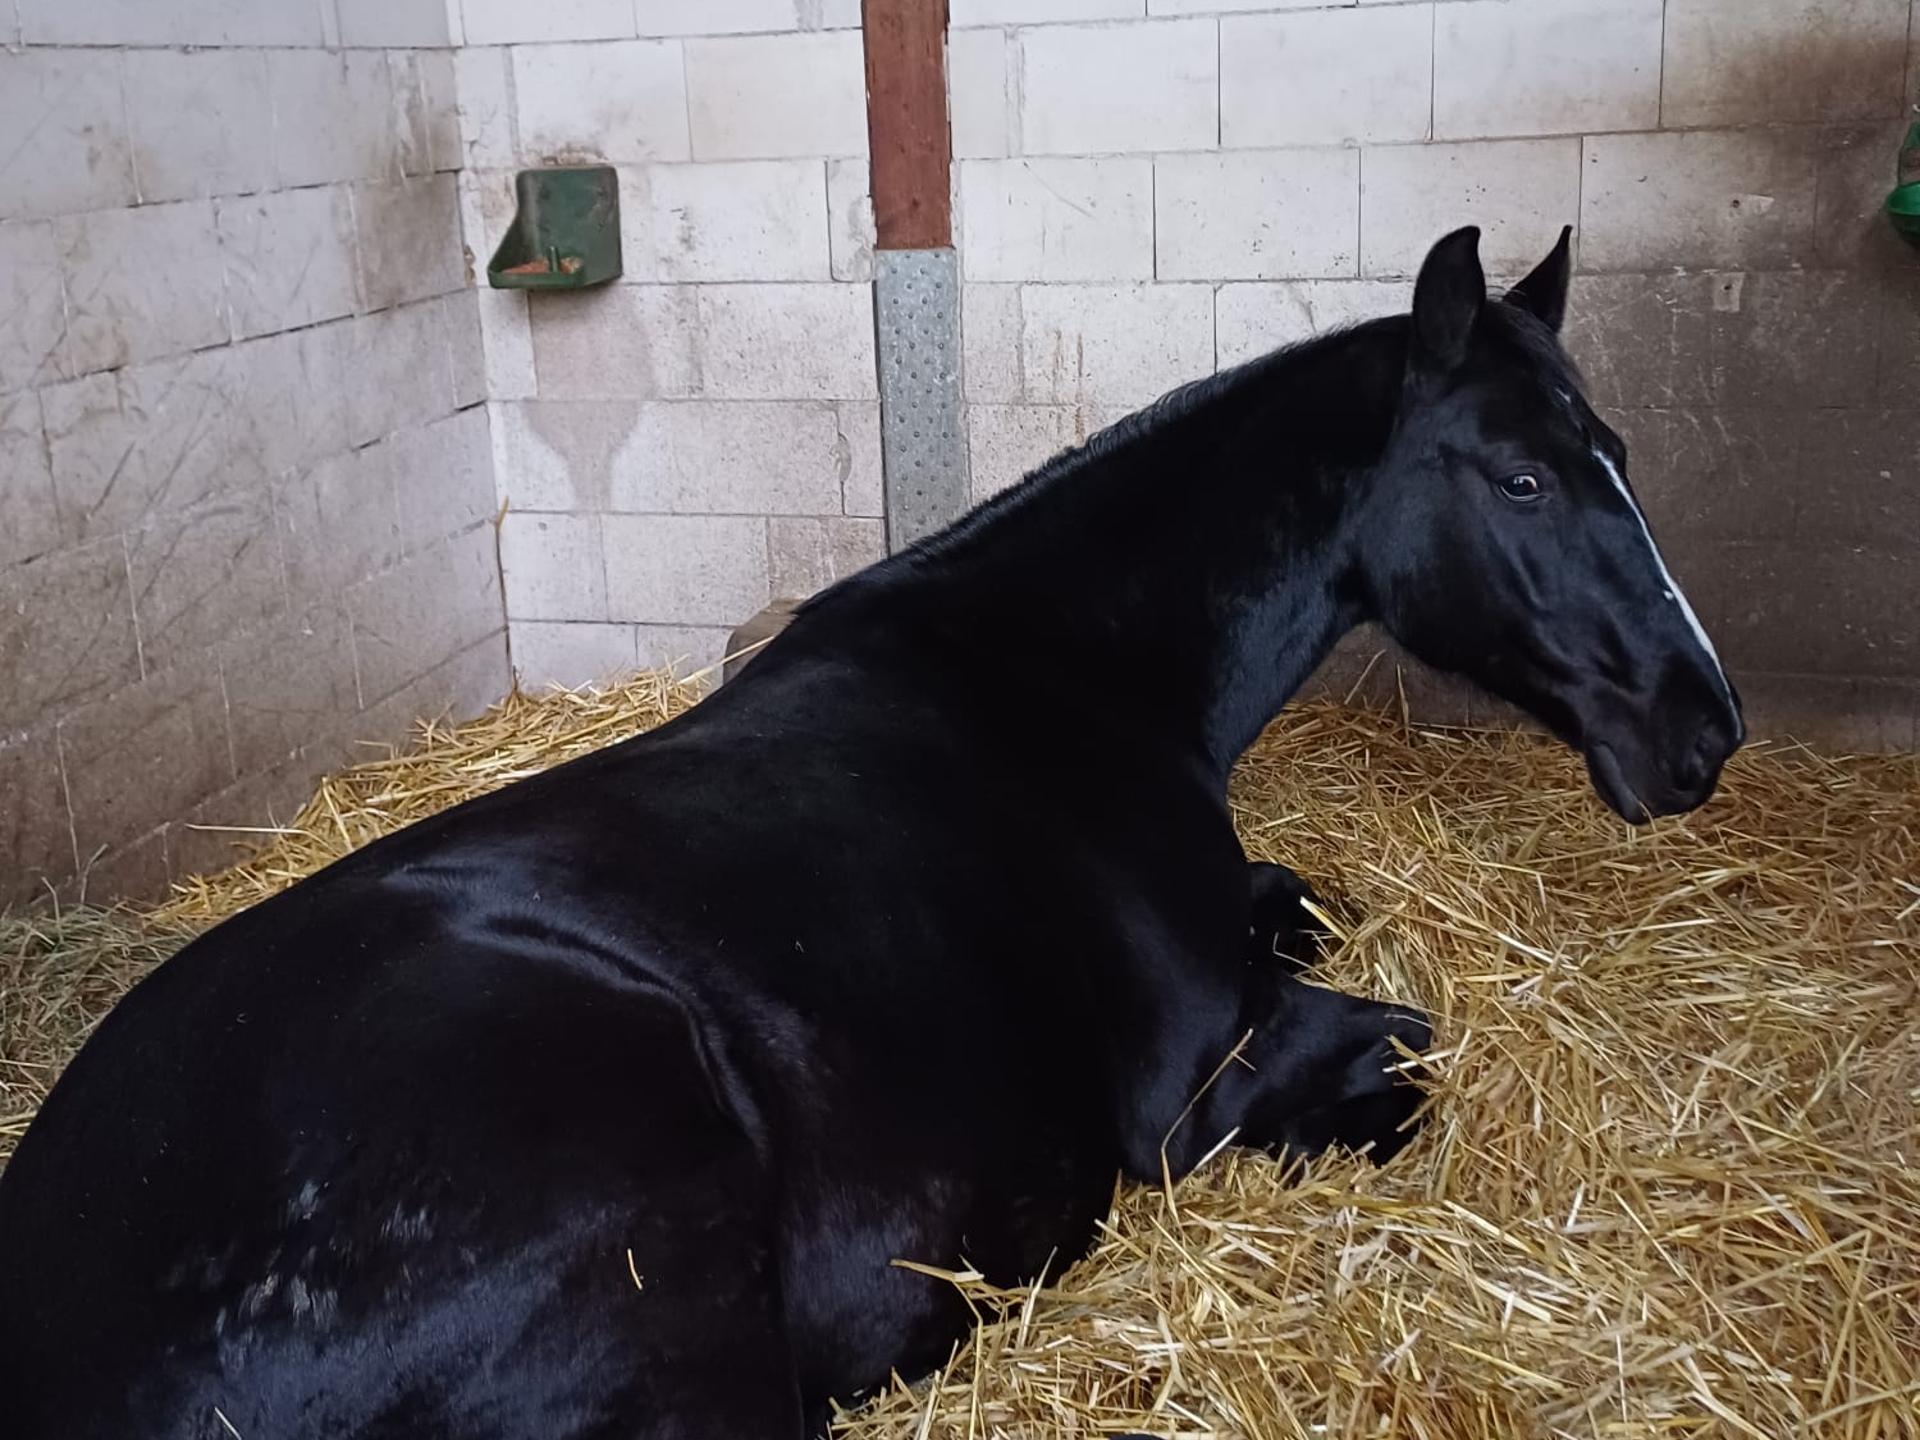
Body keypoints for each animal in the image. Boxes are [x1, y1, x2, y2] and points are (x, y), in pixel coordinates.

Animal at [0, 227, 1743, 1438]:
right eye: (1521, 477)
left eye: (1616, 459)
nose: (1703, 730)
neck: (1060, 678)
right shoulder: (1200, 1093)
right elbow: (1407, 1047)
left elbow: (1300, 898)